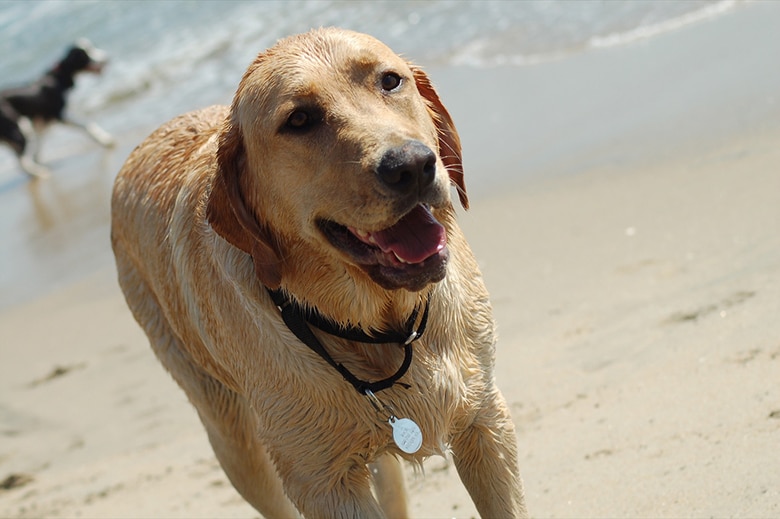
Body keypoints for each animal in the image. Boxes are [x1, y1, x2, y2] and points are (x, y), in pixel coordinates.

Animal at [0, 38, 115, 179]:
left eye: (92, 47)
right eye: (85, 55)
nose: (106, 58)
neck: (59, 77)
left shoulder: (42, 122)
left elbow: (39, 143)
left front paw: (37, 158)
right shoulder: (59, 115)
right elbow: (87, 126)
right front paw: (105, 140)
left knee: (20, 158)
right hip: (19, 128)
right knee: (21, 162)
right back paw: (39, 173)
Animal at [109, 29, 528, 519]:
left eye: (390, 81)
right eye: (299, 119)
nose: (410, 165)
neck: (378, 325)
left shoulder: (484, 418)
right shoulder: (321, 482)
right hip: (232, 437)